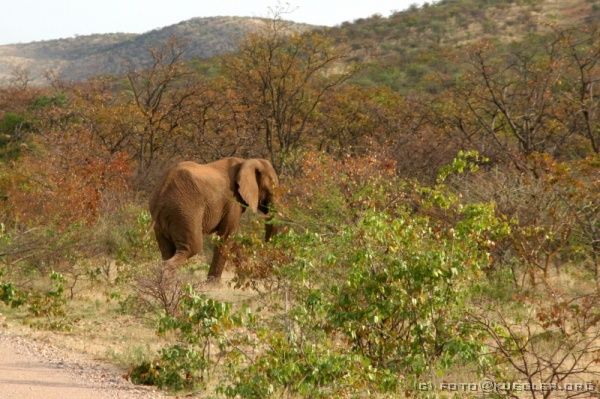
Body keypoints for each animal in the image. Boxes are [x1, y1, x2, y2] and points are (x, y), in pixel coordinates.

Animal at [150, 158, 282, 282]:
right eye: (271, 189)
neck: (246, 162)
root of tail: (163, 190)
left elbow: (233, 238)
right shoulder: (232, 201)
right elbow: (226, 236)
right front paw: (212, 284)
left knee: (168, 250)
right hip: (185, 210)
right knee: (192, 247)